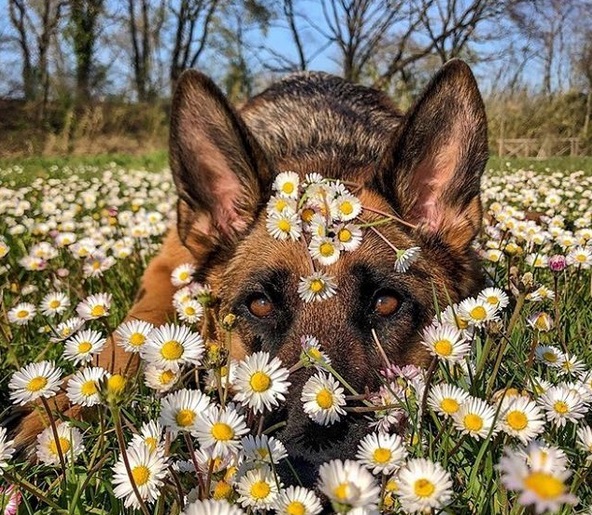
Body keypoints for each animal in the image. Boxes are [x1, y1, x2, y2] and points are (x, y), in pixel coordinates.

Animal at [20, 60, 488, 488]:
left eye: (386, 303)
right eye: (259, 304)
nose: (312, 466)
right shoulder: (165, 271)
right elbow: (129, 333)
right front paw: (59, 412)